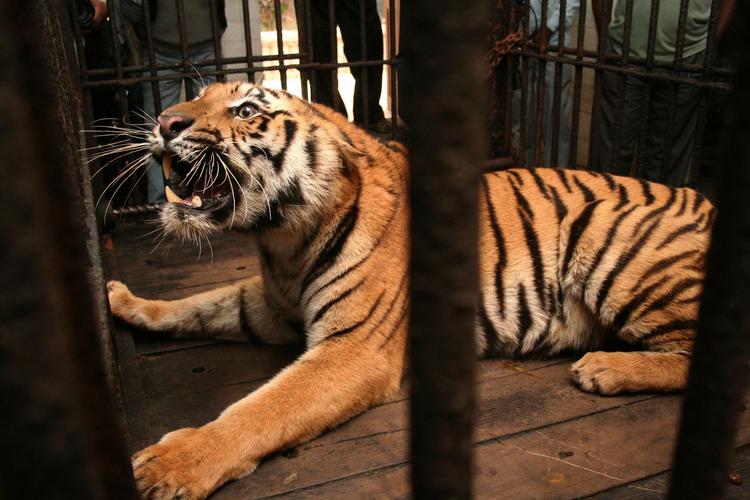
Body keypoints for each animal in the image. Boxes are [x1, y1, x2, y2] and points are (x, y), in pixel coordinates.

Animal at [106, 81, 715, 499]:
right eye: (198, 94)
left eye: (248, 110)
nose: (165, 122)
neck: (283, 240)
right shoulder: (268, 306)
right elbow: (195, 306)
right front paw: (123, 301)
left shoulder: (356, 350)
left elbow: (262, 408)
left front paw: (171, 465)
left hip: (610, 239)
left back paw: (604, 368)